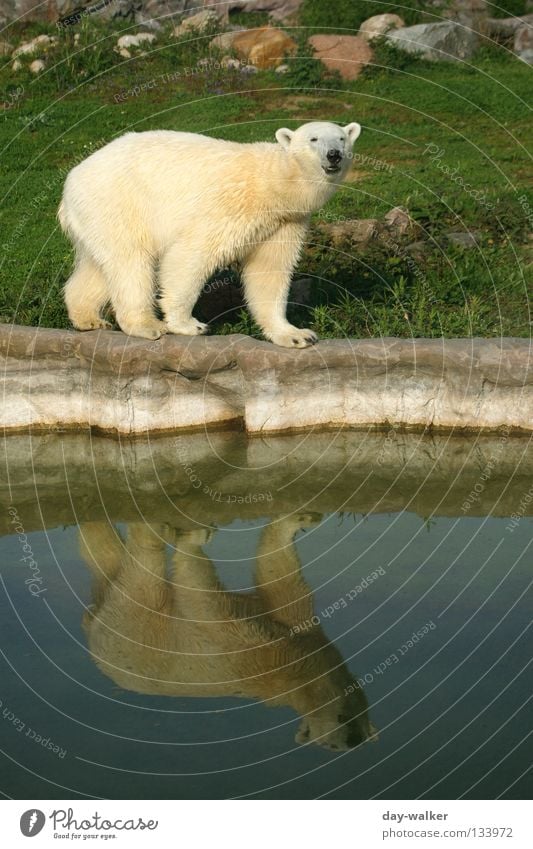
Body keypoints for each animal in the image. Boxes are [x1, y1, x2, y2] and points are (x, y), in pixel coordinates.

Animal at [59, 119, 362, 348]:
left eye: (341, 138)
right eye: (313, 139)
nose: (333, 154)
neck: (273, 185)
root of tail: (72, 179)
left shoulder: (285, 222)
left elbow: (269, 271)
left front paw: (297, 335)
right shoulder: (229, 208)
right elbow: (191, 256)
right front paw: (189, 324)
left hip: (96, 217)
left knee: (98, 267)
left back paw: (87, 318)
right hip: (119, 202)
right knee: (130, 263)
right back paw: (147, 325)